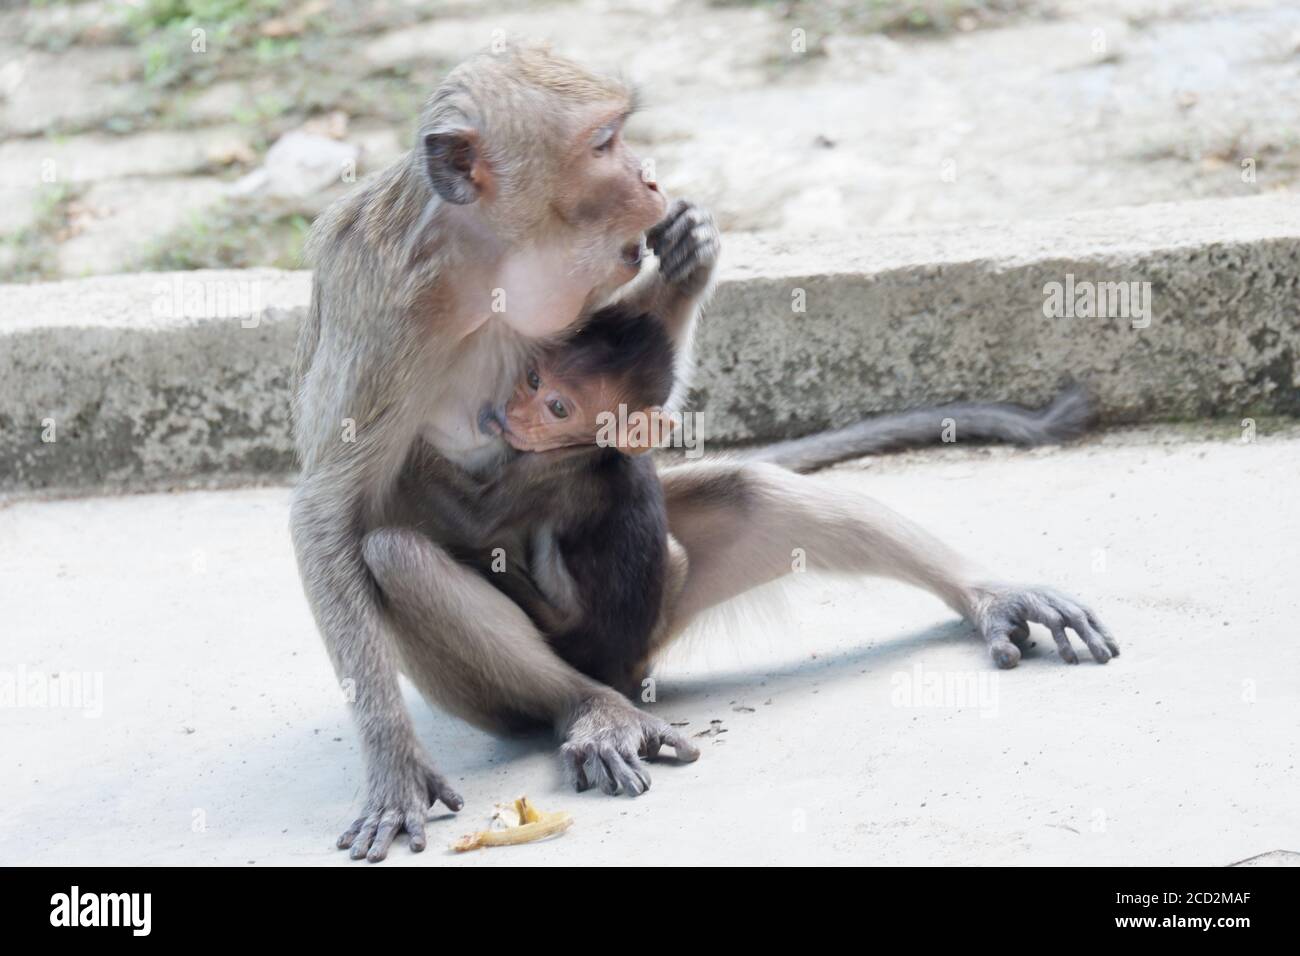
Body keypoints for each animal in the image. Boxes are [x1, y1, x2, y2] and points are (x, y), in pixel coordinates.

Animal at [292, 41, 1118, 863]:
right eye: (604, 143)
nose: (650, 177)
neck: (487, 259)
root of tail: (629, 668)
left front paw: (690, 262)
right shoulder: (387, 309)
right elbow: (328, 511)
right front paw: (394, 763)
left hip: (665, 606)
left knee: (753, 494)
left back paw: (985, 594)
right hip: (513, 688)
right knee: (398, 553)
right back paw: (588, 707)